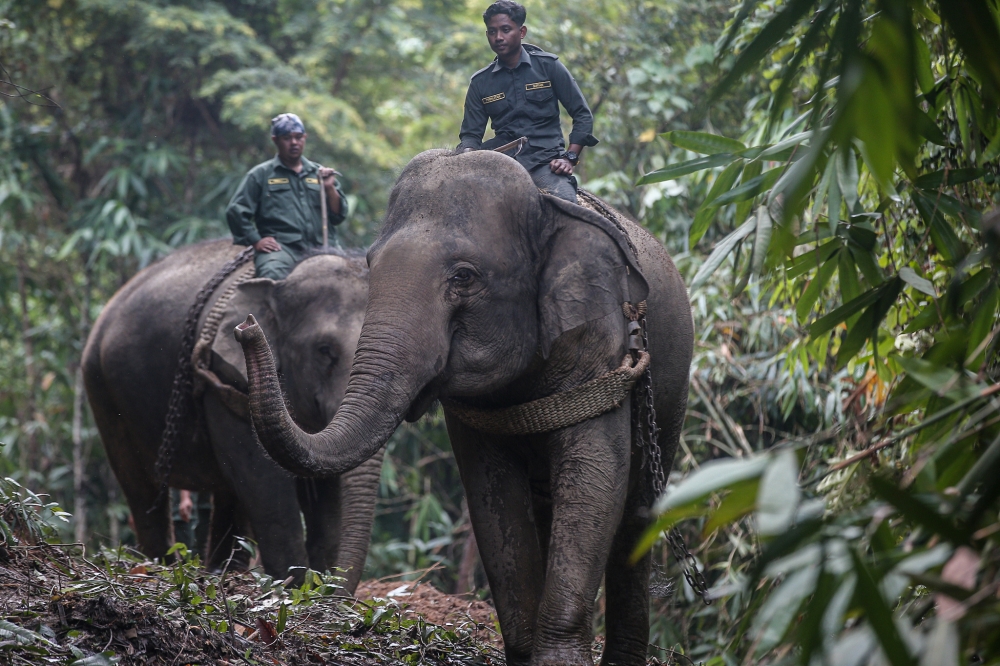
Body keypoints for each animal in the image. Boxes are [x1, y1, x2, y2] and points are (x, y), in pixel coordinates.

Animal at [83, 239, 382, 592]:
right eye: (324, 350)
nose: (247, 327)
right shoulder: (223, 380)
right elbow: (266, 487)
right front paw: (293, 588)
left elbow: (326, 495)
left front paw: (316, 588)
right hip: (102, 390)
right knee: (141, 488)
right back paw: (160, 569)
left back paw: (220, 572)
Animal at [234, 150, 694, 665]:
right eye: (370, 263)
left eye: (464, 277)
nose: (245, 326)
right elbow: (491, 494)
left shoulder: (602, 341)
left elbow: (595, 475)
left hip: (671, 391)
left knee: (636, 514)